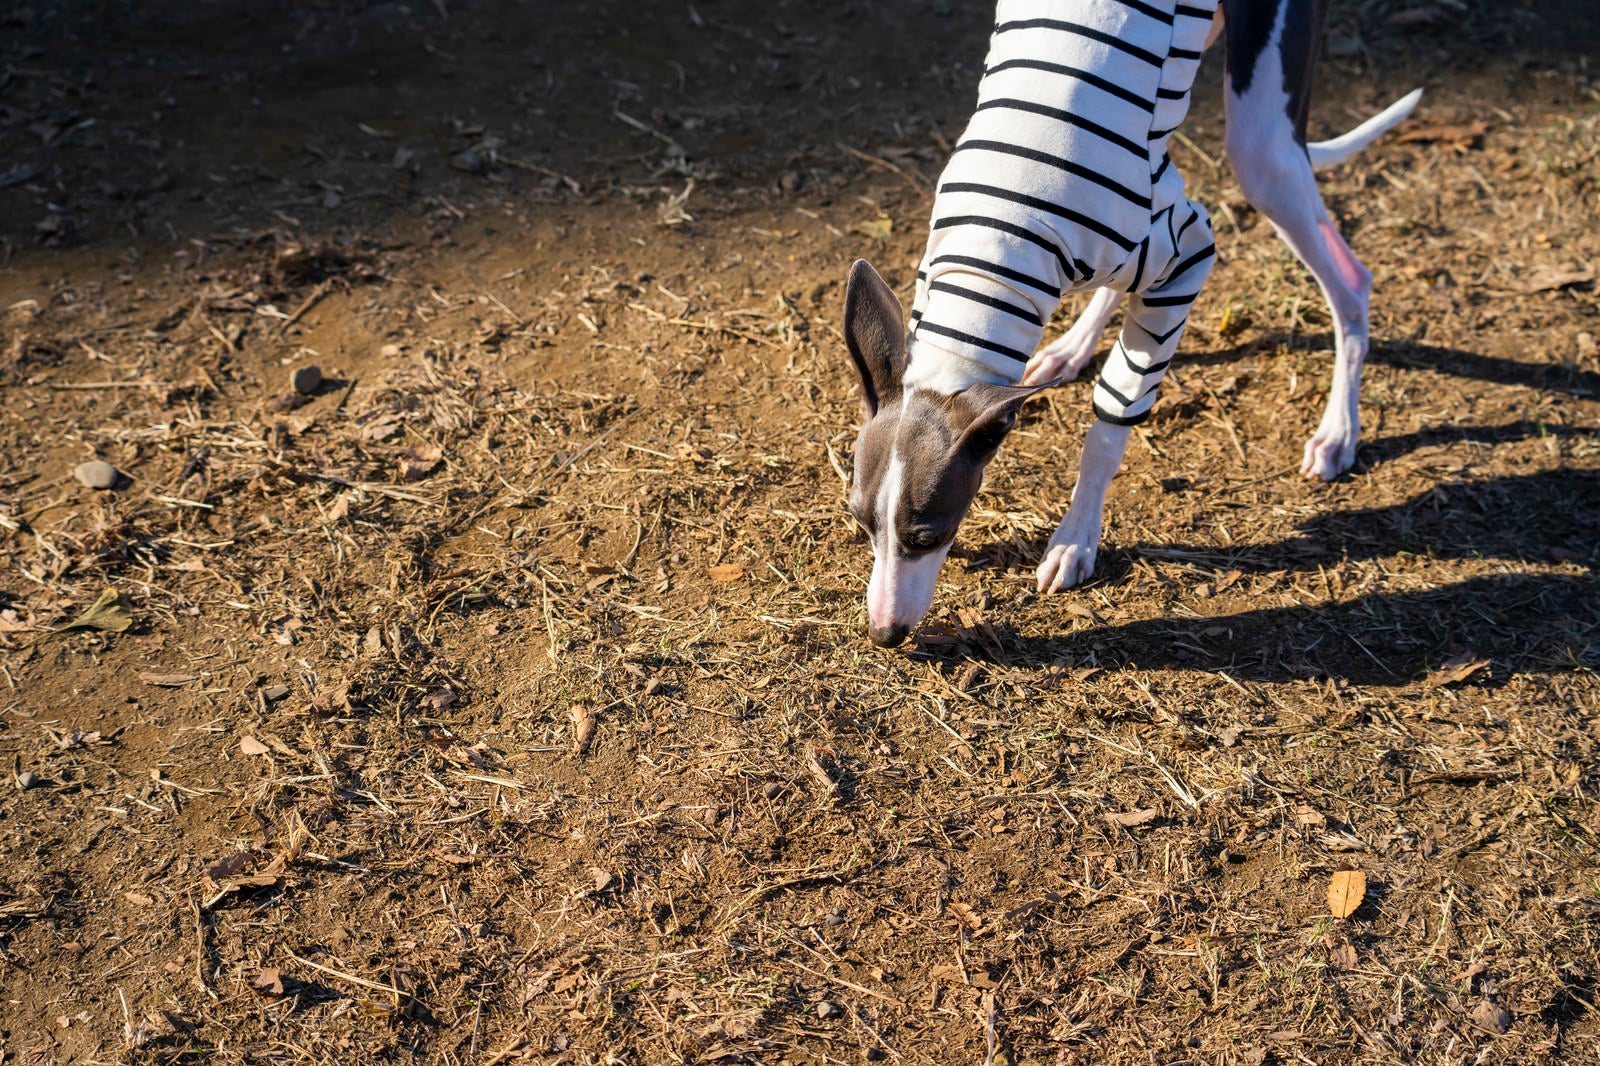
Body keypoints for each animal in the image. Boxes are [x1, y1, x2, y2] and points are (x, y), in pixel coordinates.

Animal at [844, 0, 1420, 640]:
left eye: (928, 535)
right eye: (862, 523)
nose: (885, 634)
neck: (994, 247)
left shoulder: (1189, 259)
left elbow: (1108, 427)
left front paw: (1075, 540)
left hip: (1262, 148)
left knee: (1351, 281)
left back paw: (1338, 430)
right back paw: (1072, 346)